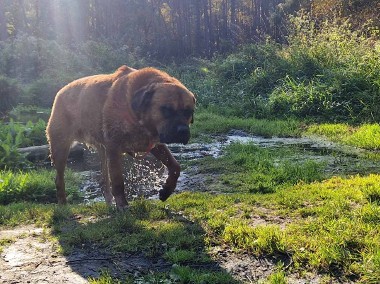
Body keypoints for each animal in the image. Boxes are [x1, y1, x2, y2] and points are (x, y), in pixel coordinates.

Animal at [46, 66, 196, 209]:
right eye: (166, 109)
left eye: (189, 111)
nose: (182, 131)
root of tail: (60, 91)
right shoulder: (114, 147)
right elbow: (118, 180)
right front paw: (122, 204)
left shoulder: (154, 143)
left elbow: (175, 166)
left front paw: (167, 190)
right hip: (60, 148)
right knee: (59, 179)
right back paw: (63, 204)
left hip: (102, 149)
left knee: (104, 179)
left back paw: (109, 202)